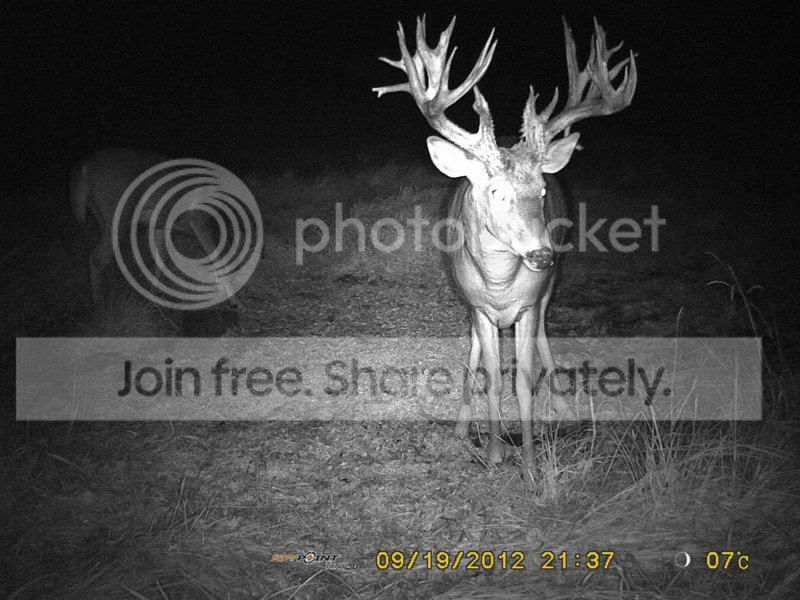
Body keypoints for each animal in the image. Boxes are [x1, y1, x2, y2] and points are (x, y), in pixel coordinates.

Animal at [70, 147, 240, 308]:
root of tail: (84, 168)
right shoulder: (199, 221)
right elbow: (218, 258)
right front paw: (234, 302)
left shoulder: (161, 226)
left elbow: (160, 260)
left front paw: (153, 296)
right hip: (118, 214)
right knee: (96, 258)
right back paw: (99, 303)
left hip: (101, 217)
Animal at [374, 16, 636, 479]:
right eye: (495, 190)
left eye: (543, 190)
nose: (541, 254)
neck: (499, 284)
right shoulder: (478, 305)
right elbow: (493, 377)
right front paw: (496, 453)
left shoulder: (530, 302)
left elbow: (523, 379)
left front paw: (530, 462)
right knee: (477, 351)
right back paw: (463, 424)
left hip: (550, 286)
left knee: (545, 336)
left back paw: (563, 405)